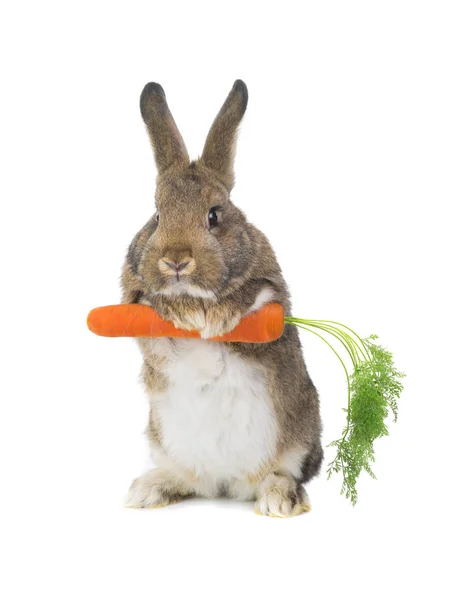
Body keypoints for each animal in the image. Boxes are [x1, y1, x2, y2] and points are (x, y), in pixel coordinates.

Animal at [121, 82, 320, 516]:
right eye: (157, 216)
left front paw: (209, 319)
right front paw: (181, 314)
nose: (176, 260)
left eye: (214, 215)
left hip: (299, 438)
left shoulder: (270, 303)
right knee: (187, 478)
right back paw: (147, 491)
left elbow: (239, 308)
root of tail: (228, 484)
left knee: (283, 473)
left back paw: (279, 500)